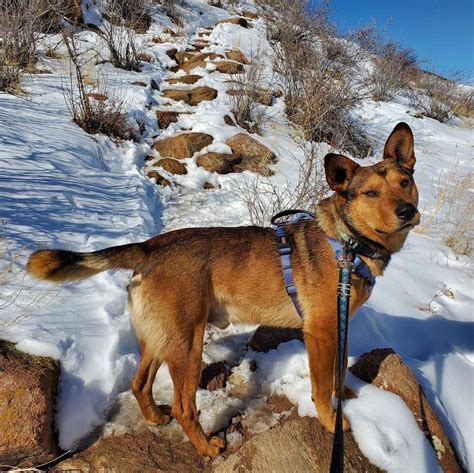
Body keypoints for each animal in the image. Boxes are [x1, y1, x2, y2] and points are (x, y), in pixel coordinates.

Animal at [26, 122, 418, 458]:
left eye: (404, 182)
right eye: (370, 193)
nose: (407, 211)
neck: (349, 244)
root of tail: (149, 247)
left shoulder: (340, 325)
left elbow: (338, 371)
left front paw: (349, 394)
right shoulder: (320, 332)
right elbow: (322, 388)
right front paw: (332, 422)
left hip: (160, 336)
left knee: (140, 384)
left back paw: (154, 418)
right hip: (187, 344)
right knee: (184, 406)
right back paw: (206, 447)